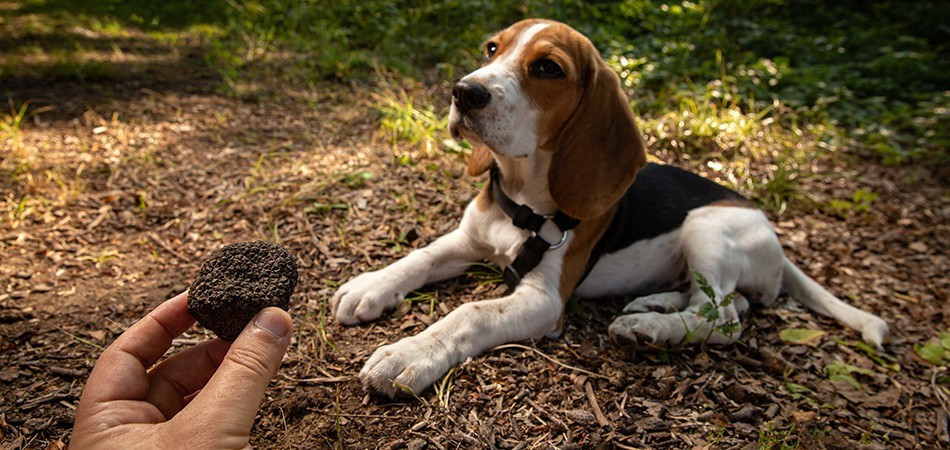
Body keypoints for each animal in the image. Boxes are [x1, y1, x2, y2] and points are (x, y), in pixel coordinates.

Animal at [330, 19, 892, 396]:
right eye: (493, 48)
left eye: (547, 68)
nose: (464, 92)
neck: (523, 196)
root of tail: (772, 235)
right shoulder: (467, 238)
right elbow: (420, 257)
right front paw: (370, 286)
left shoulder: (544, 300)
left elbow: (469, 313)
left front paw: (411, 353)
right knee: (727, 303)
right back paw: (652, 307)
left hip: (709, 228)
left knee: (726, 317)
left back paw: (650, 329)